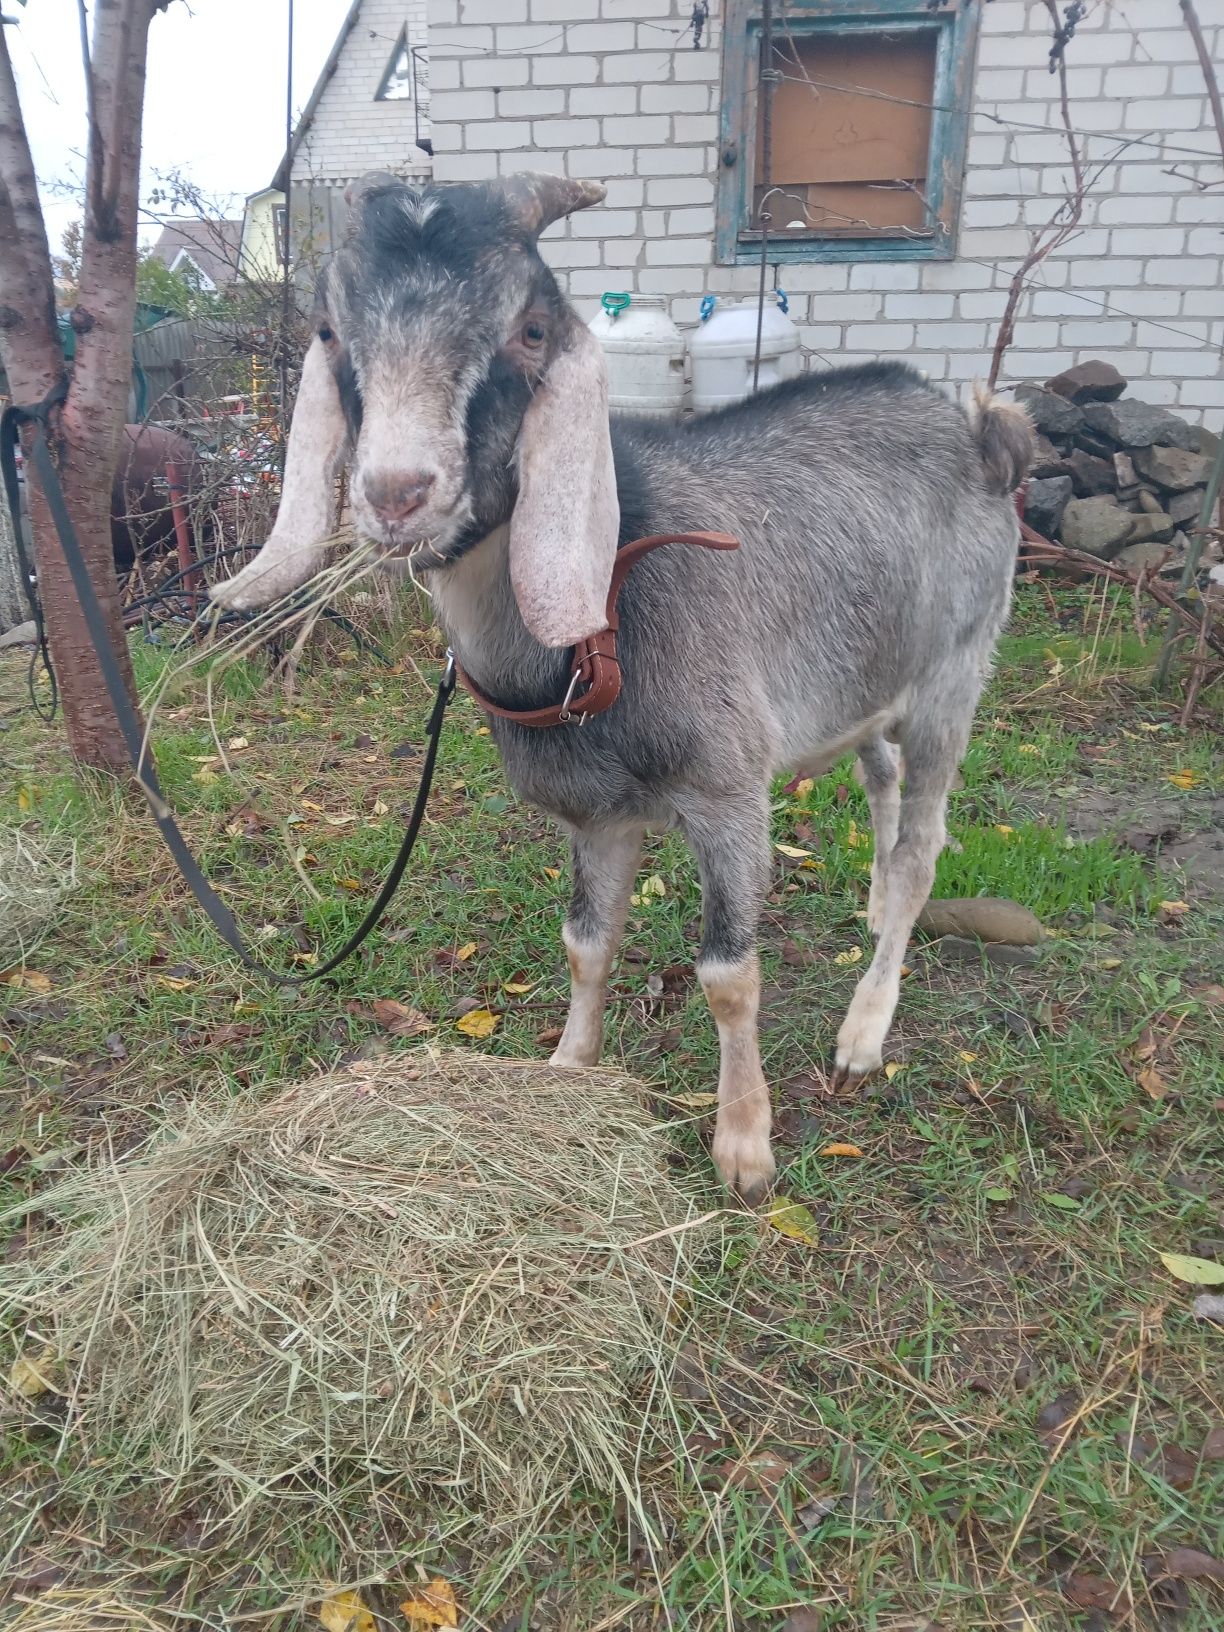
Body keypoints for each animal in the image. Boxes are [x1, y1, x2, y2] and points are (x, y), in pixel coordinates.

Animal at [213, 178, 1037, 1201]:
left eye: (530, 329)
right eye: (330, 330)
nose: (397, 493)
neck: (610, 601)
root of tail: (978, 431)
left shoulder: (727, 792)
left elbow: (727, 974)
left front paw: (744, 1146)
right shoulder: (598, 812)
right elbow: (586, 941)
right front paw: (567, 1068)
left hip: (954, 671)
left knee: (926, 844)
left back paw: (863, 1028)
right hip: (866, 684)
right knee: (880, 780)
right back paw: (880, 907)